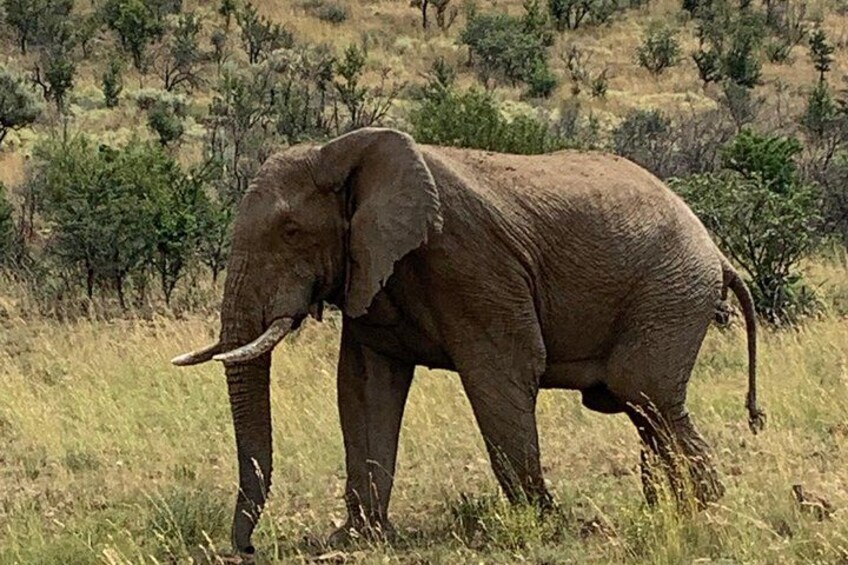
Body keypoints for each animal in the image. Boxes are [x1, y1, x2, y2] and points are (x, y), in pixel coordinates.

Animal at [172, 127, 765, 557]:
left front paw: (542, 525)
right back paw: (675, 511)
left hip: (669, 292)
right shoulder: (371, 271)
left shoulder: (471, 261)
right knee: (644, 412)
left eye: (291, 232)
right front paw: (358, 539)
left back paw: (702, 510)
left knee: (646, 398)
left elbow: (500, 375)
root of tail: (717, 252)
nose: (247, 549)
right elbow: (365, 388)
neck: (342, 150)